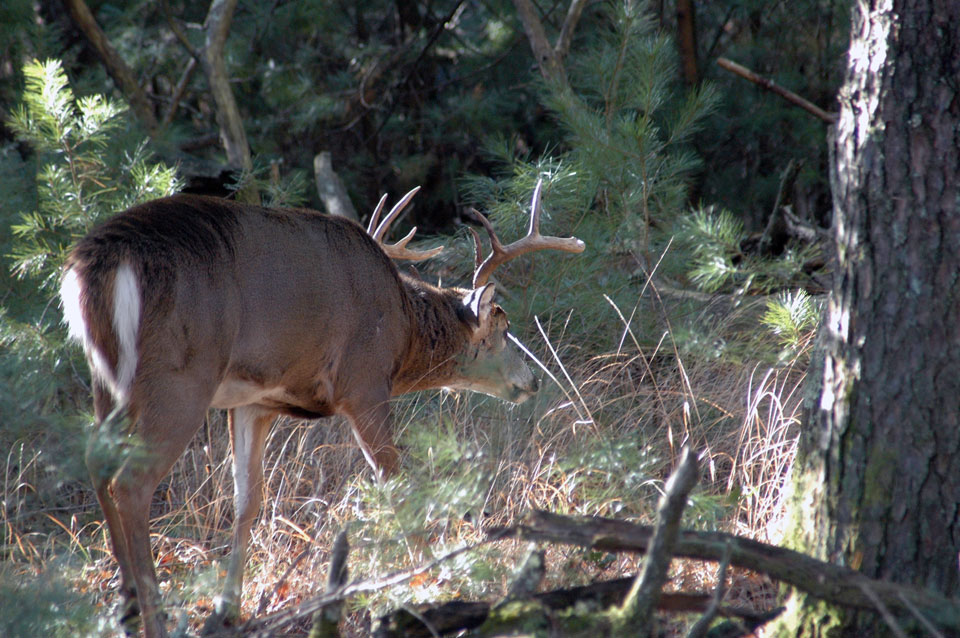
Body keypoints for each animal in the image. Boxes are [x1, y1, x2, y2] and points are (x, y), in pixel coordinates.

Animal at [62, 179, 584, 636]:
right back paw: (152, 621)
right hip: (179, 375)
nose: (531, 381)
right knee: (131, 483)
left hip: (108, 381)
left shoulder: (253, 400)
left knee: (95, 463)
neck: (401, 330)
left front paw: (228, 611)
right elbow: (397, 483)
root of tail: (92, 265)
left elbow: (247, 500)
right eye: (502, 324)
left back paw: (126, 609)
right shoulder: (365, 382)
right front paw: (430, 578)